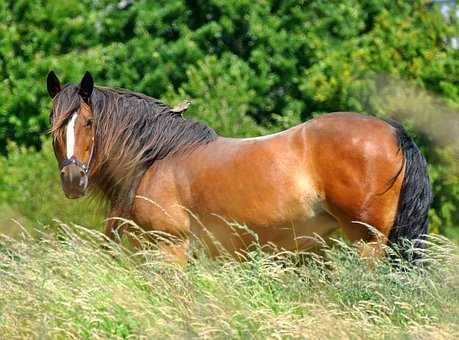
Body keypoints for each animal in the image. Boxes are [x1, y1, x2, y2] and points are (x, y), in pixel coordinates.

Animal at [48, 71, 434, 262]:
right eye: (53, 125)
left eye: (87, 123)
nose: (72, 179)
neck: (154, 159)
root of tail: (394, 132)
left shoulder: (170, 248)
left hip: (367, 242)